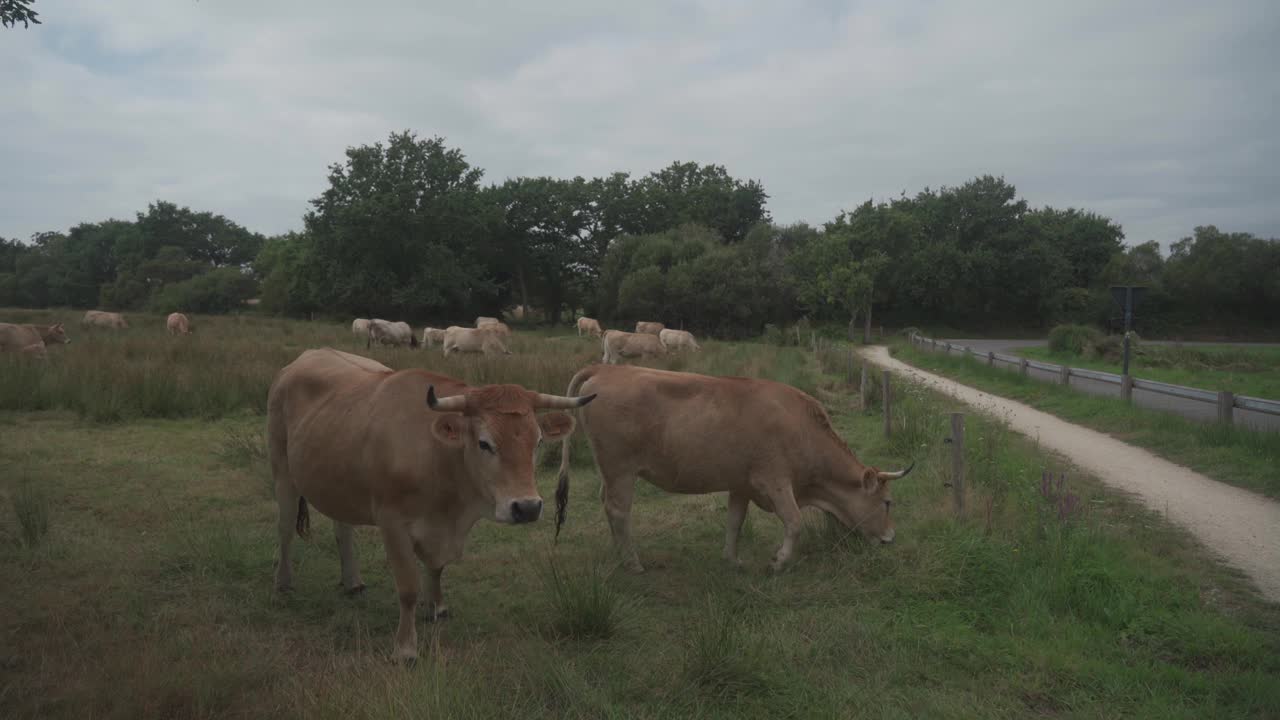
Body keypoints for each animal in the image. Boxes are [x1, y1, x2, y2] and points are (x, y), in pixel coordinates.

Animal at [267, 345, 596, 661]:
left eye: (537, 442)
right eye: (484, 443)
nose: (527, 507)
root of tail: (306, 357)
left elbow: (436, 568)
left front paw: (436, 607)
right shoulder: (392, 522)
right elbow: (408, 587)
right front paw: (405, 648)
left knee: (342, 529)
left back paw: (352, 581)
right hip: (283, 472)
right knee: (284, 528)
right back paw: (282, 582)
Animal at [558, 363, 911, 571]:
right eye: (887, 502)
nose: (891, 537)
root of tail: (606, 369)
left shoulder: (742, 484)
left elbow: (734, 522)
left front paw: (732, 559)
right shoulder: (775, 481)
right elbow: (795, 522)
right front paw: (779, 561)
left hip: (610, 471)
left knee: (607, 505)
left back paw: (618, 554)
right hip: (621, 470)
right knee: (618, 510)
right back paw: (632, 562)